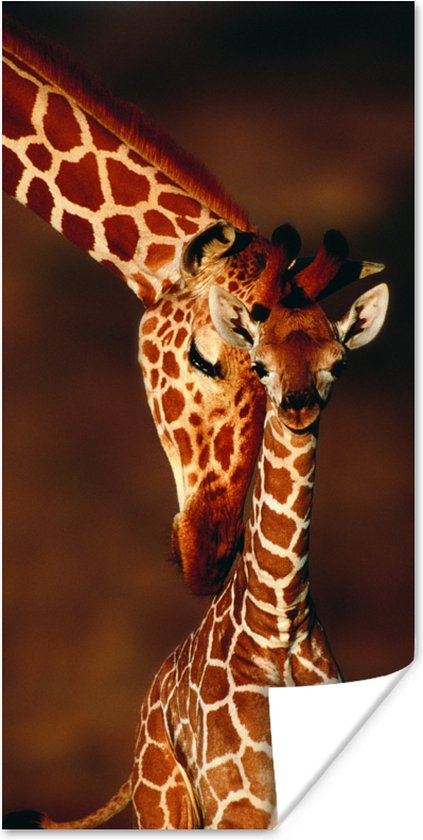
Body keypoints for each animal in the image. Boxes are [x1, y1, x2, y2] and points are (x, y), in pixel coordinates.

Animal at [4, 237, 389, 829]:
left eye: (338, 363)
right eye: (260, 365)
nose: (298, 406)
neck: (278, 621)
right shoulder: (239, 806)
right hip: (165, 805)